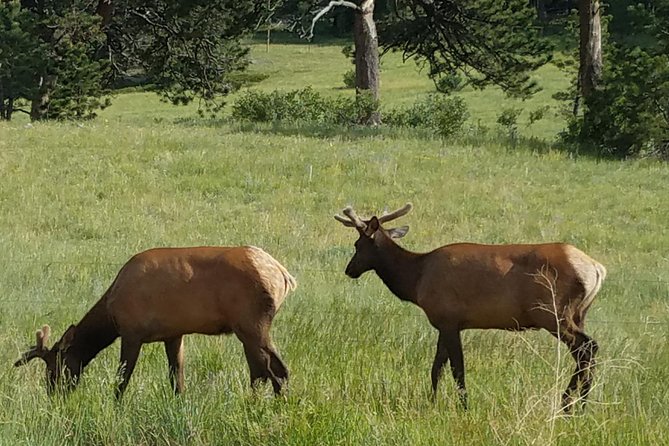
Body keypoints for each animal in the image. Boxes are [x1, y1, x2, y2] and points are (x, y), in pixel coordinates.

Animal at [12, 246, 294, 398]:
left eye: (55, 369)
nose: (53, 396)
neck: (111, 312)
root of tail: (284, 276)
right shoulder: (174, 333)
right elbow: (177, 378)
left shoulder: (131, 332)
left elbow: (122, 379)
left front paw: (115, 409)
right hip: (247, 327)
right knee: (261, 371)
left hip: (252, 322)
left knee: (276, 369)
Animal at [334, 203, 604, 412]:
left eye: (358, 245)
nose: (349, 270)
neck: (416, 279)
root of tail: (596, 268)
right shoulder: (445, 323)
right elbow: (437, 367)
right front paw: (432, 403)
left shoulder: (449, 318)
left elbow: (457, 369)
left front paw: (464, 406)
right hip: (578, 313)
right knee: (586, 350)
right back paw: (580, 405)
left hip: (551, 312)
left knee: (587, 347)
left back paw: (569, 404)